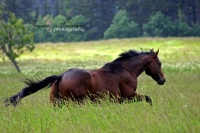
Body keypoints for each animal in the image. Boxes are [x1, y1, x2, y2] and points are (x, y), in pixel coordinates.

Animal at [3, 48, 166, 106]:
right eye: (159, 63)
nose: (163, 80)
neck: (125, 70)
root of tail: (61, 76)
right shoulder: (129, 96)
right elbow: (148, 98)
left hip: (56, 103)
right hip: (75, 102)